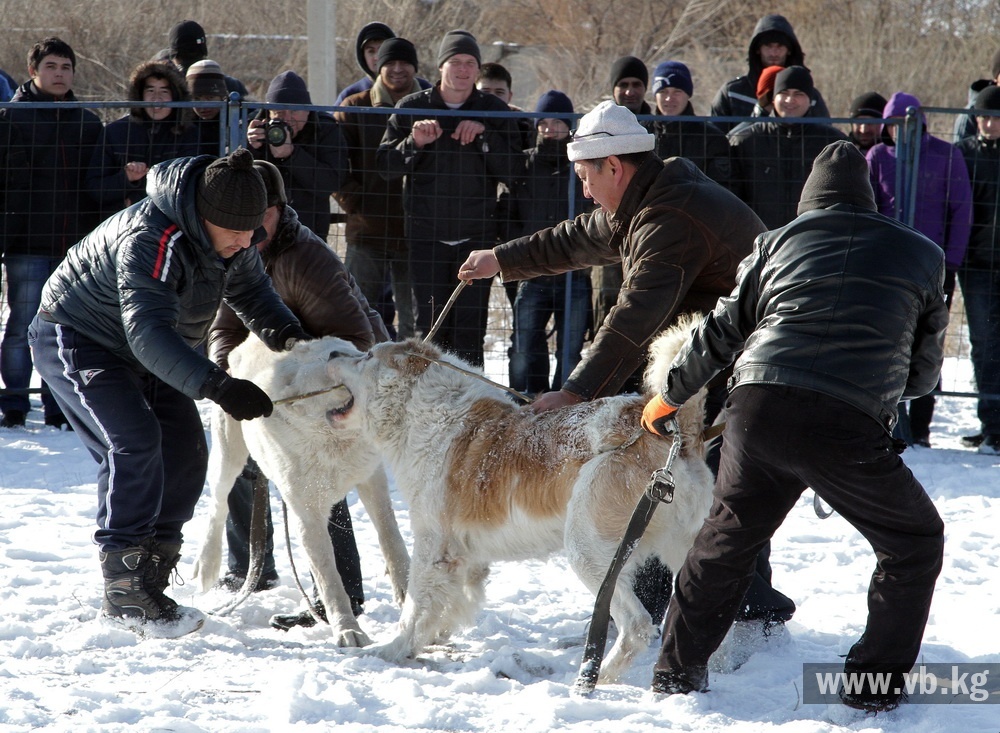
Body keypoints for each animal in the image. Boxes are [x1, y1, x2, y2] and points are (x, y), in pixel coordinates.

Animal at [191, 334, 410, 648]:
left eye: (353, 352)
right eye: (333, 357)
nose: (370, 354)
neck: (333, 439)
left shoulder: (372, 477)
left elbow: (391, 537)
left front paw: (406, 590)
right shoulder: (307, 515)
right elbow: (330, 579)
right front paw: (348, 630)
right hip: (228, 456)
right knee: (218, 507)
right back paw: (207, 566)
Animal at [324, 318, 716, 684]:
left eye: (367, 356)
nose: (330, 352)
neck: (424, 412)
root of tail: (670, 427)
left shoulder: (432, 547)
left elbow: (414, 607)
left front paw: (393, 649)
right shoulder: (462, 557)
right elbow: (450, 602)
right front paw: (434, 637)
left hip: (589, 552)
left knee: (636, 625)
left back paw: (594, 677)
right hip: (681, 549)